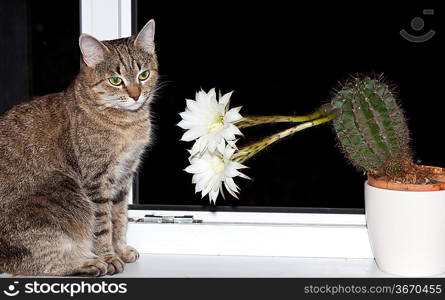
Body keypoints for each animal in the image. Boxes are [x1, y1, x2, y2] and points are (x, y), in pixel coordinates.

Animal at [0, 19, 159, 276]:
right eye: (116, 80)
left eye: (143, 75)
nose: (136, 95)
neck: (128, 123)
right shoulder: (96, 181)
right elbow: (103, 225)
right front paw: (109, 257)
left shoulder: (123, 177)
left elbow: (120, 219)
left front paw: (121, 250)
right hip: (64, 193)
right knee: (39, 265)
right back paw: (87, 263)